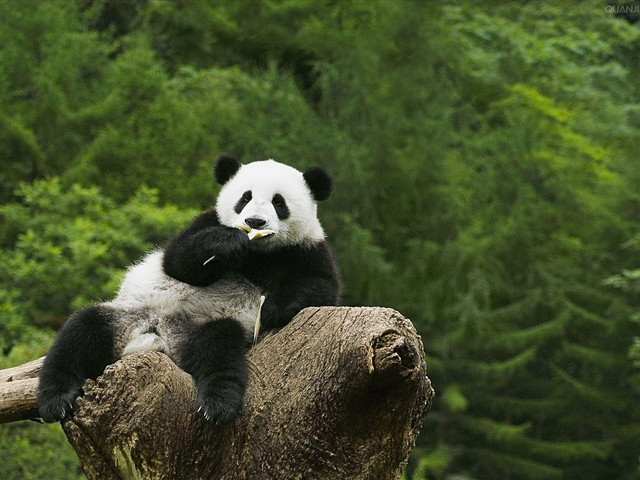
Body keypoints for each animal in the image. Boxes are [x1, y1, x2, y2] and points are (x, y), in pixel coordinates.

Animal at [36, 154, 340, 424]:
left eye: (278, 202)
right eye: (245, 198)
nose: (254, 222)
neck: (257, 253)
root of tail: (159, 336)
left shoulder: (306, 249)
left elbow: (320, 288)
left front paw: (272, 309)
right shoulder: (205, 222)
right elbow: (178, 261)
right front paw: (226, 243)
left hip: (203, 328)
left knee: (219, 349)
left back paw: (217, 404)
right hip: (127, 316)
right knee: (80, 333)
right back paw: (56, 399)